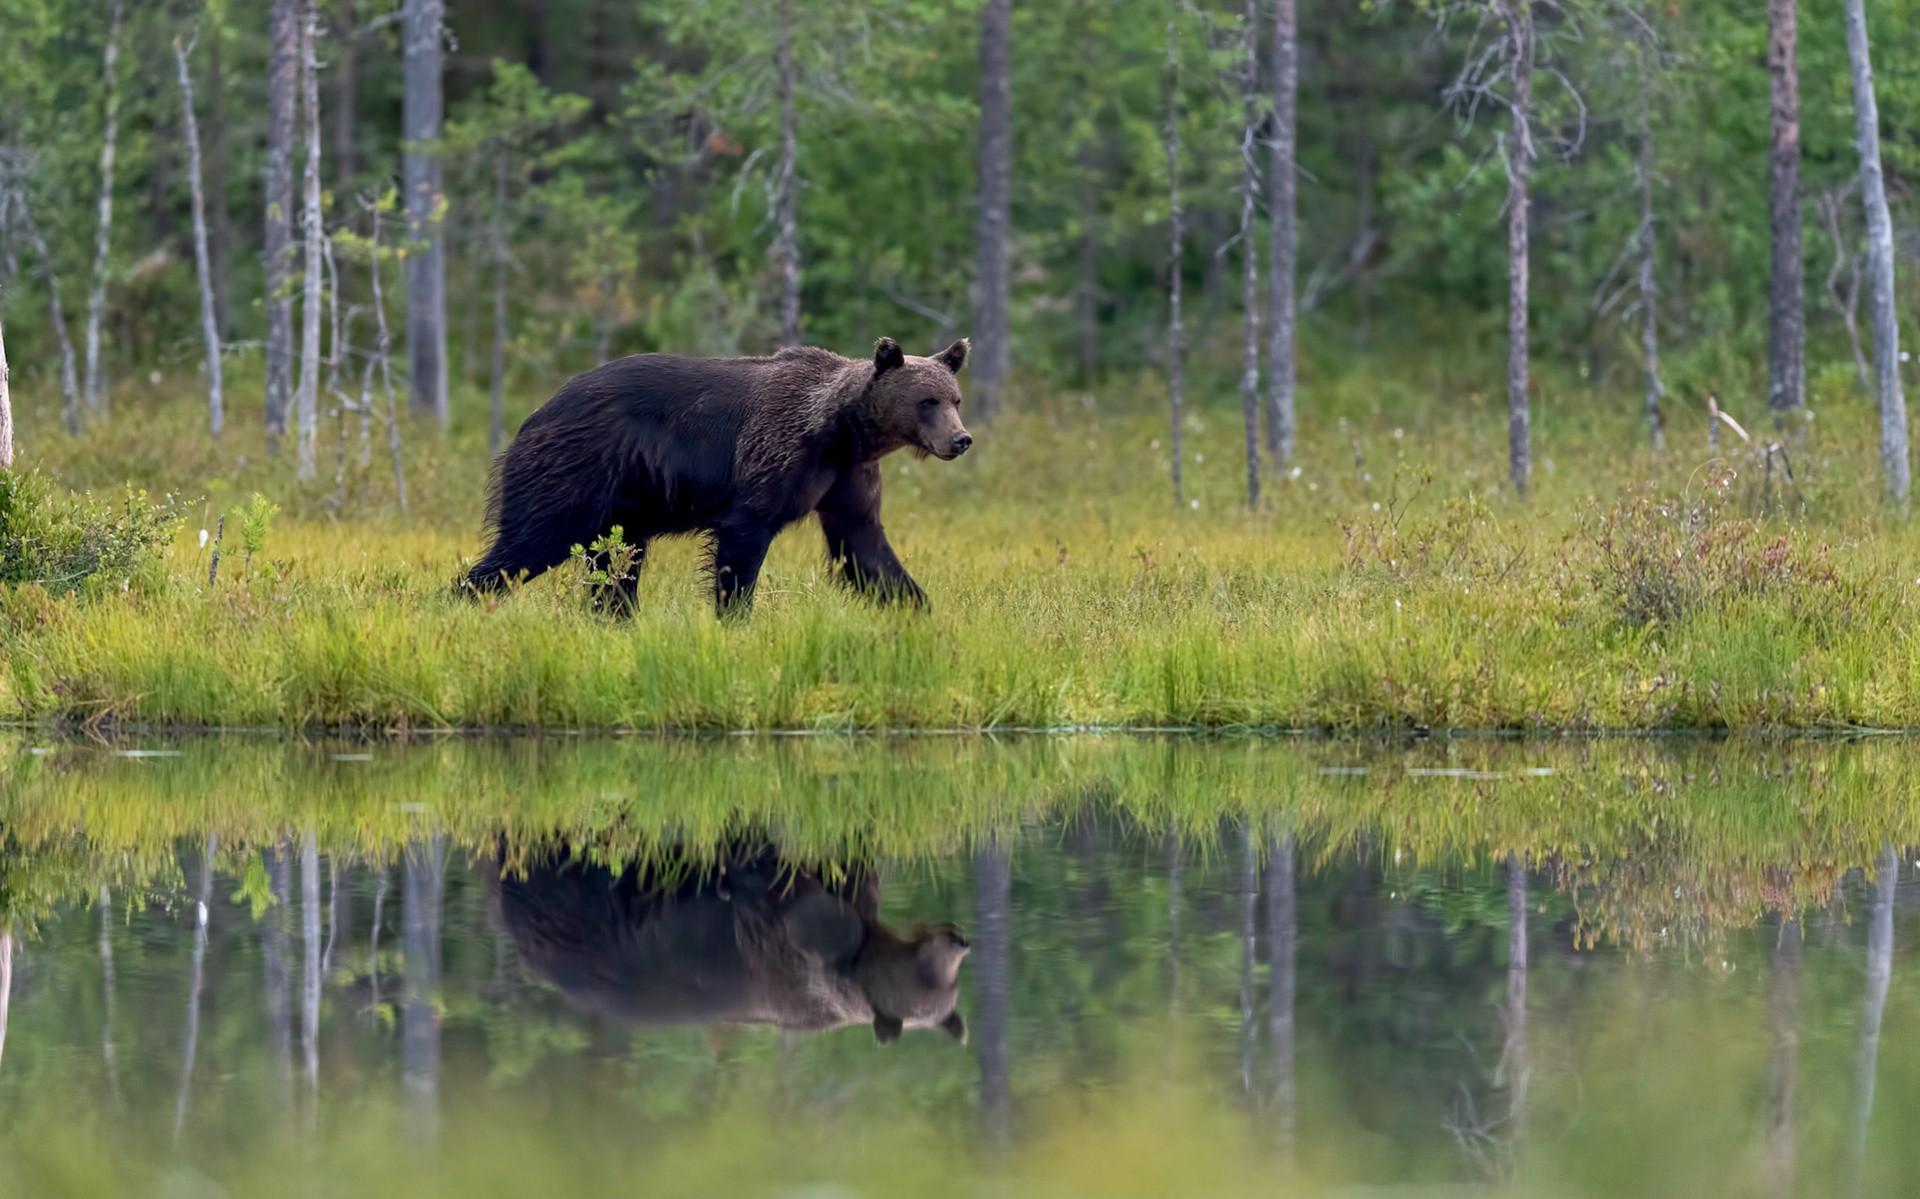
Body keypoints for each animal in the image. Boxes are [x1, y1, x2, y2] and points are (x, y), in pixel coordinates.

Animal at [466, 338, 975, 618]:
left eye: (955, 398)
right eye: (927, 401)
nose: (961, 438)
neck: (842, 431)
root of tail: (536, 412)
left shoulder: (845, 479)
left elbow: (864, 548)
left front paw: (920, 609)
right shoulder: (775, 458)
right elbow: (742, 544)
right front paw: (733, 617)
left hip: (624, 506)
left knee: (614, 567)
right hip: (574, 470)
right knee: (529, 544)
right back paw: (464, 598)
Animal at [495, 837, 975, 1045]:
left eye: (952, 983)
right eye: (926, 975)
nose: (960, 941)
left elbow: (848, 871)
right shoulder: (780, 940)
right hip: (578, 911)